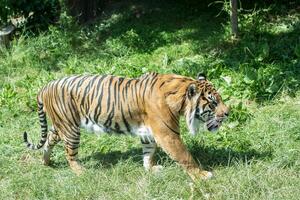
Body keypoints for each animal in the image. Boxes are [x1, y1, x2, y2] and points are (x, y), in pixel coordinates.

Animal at [23, 72, 230, 181]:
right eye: (213, 103)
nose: (228, 112)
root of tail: (46, 85)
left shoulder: (148, 132)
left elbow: (148, 152)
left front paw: (150, 169)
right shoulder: (167, 134)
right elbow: (185, 156)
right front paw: (202, 174)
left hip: (60, 125)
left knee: (49, 141)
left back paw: (46, 162)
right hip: (70, 128)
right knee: (70, 154)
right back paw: (81, 172)